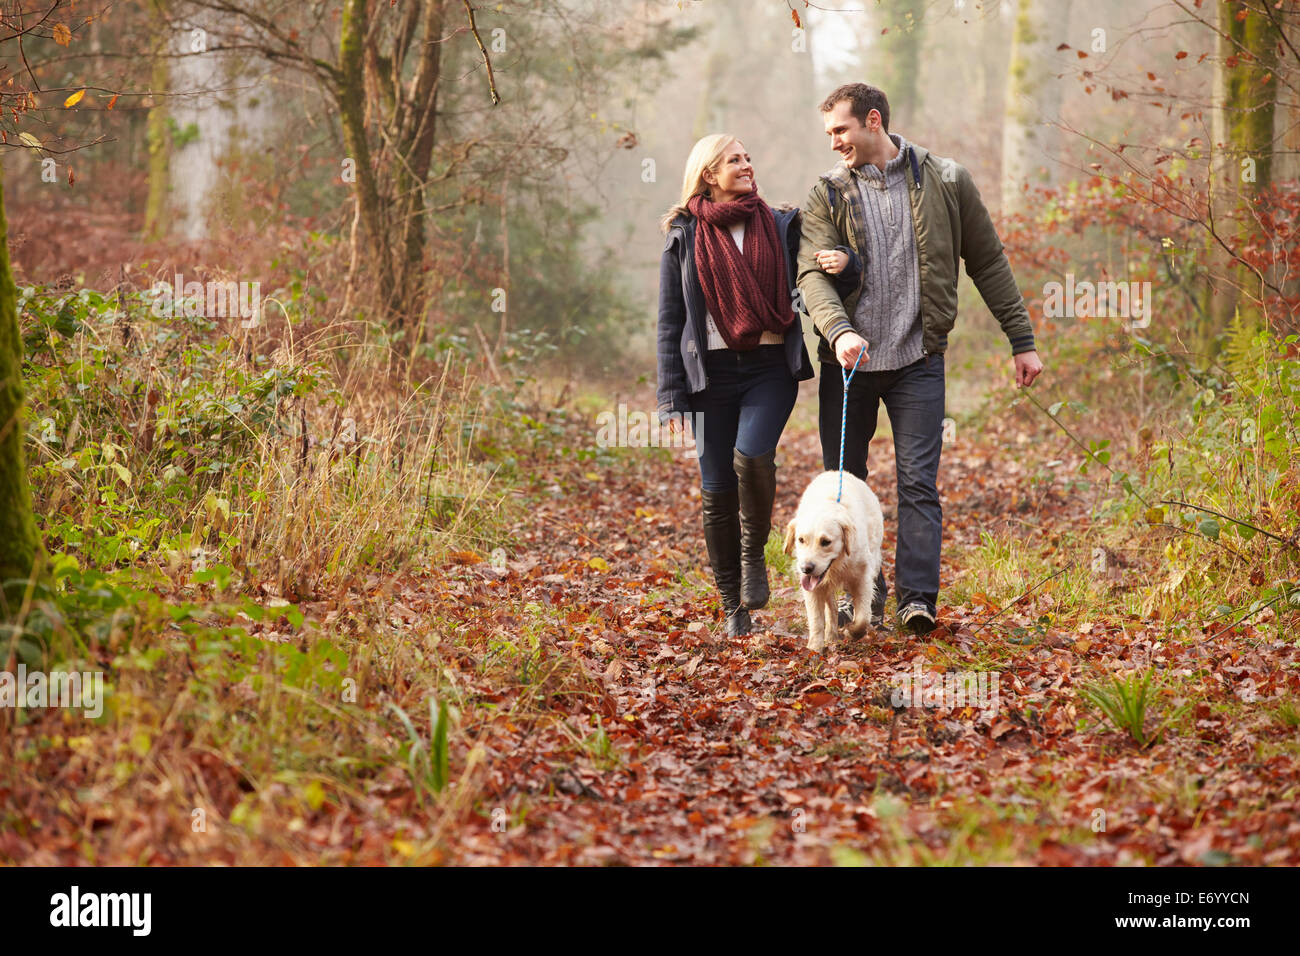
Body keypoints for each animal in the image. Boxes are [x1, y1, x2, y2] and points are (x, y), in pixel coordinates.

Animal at [780, 468, 883, 650]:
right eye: (801, 540)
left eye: (825, 542)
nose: (806, 568)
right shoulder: (812, 587)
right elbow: (816, 619)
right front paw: (815, 647)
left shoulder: (863, 578)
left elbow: (863, 618)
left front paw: (852, 631)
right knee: (832, 607)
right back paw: (831, 635)